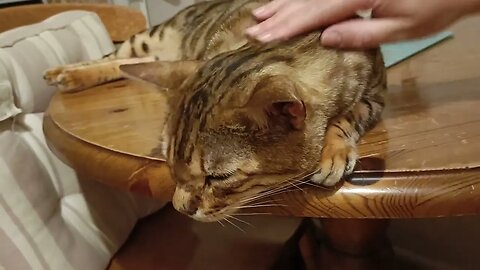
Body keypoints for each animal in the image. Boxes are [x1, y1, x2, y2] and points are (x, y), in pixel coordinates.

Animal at [42, 0, 386, 221]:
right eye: (170, 166)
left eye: (219, 177)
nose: (180, 209)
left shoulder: (376, 95)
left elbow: (349, 114)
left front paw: (334, 151)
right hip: (148, 39)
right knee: (114, 57)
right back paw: (65, 73)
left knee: (127, 62)